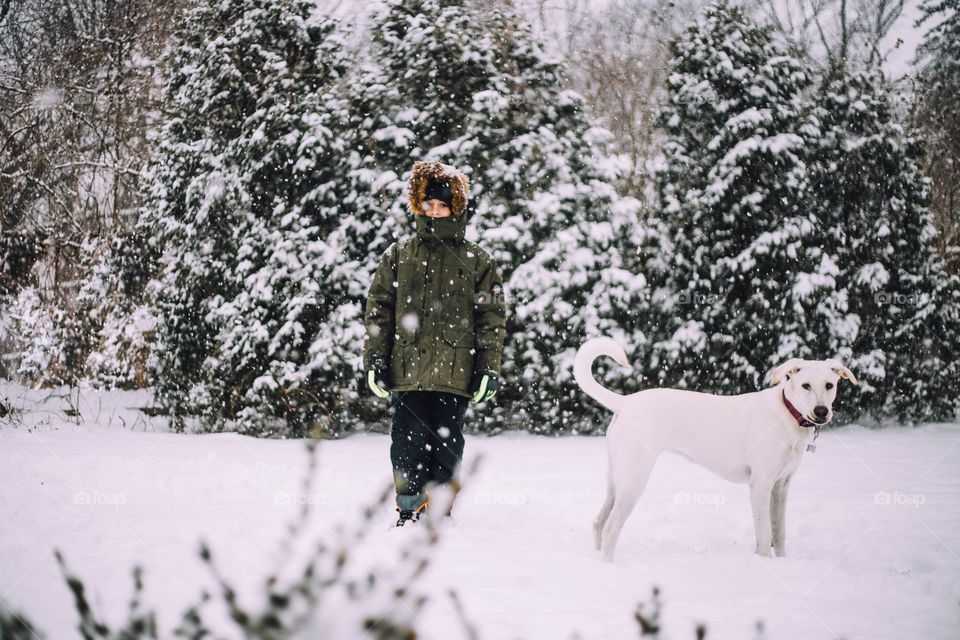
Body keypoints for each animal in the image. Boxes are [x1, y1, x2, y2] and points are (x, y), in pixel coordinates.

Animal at [572, 336, 860, 560]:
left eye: (829, 385)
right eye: (805, 386)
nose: (821, 412)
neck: (788, 414)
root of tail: (625, 401)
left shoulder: (781, 487)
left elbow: (779, 533)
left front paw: (782, 562)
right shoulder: (761, 484)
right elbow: (764, 534)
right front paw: (764, 564)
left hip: (617, 479)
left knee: (598, 522)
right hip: (634, 479)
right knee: (611, 527)